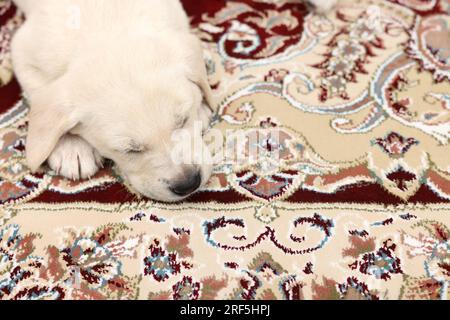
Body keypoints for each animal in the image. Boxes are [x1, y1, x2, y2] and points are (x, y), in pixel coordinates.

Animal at [11, 0, 338, 202]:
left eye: (182, 120)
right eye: (130, 150)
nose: (188, 183)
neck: (104, 25)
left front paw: (204, 106)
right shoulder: (22, 51)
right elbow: (41, 96)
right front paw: (70, 147)